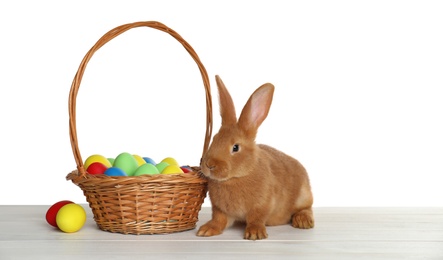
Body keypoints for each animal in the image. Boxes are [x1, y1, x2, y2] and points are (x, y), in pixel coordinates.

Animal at [198, 75, 316, 240]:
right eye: (214, 139)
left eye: (235, 147)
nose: (209, 164)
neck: (236, 178)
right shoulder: (220, 209)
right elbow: (218, 219)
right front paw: (206, 230)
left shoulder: (262, 205)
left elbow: (256, 218)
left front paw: (255, 234)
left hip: (304, 196)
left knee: (307, 208)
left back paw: (303, 221)